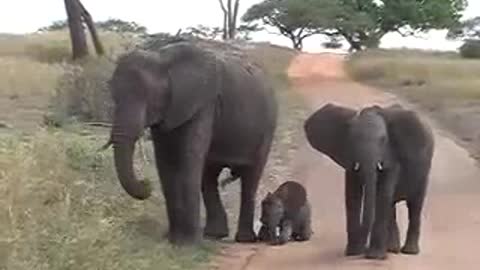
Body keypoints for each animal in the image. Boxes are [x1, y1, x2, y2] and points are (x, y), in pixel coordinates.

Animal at [105, 41, 278, 246]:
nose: (146, 183)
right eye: (113, 97)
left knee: (250, 177)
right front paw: (174, 241)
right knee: (209, 175)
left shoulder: (203, 104)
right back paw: (213, 235)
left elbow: (189, 159)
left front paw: (187, 244)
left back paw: (243, 239)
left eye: (149, 98)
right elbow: (165, 165)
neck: (162, 60)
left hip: (267, 127)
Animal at [304, 103, 436, 260]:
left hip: (424, 172)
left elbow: (381, 195)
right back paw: (391, 249)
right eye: (351, 140)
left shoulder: (392, 159)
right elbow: (352, 196)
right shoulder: (349, 159)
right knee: (391, 207)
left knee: (414, 205)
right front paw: (353, 252)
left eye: (383, 140)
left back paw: (408, 251)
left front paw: (373, 256)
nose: (363, 249)